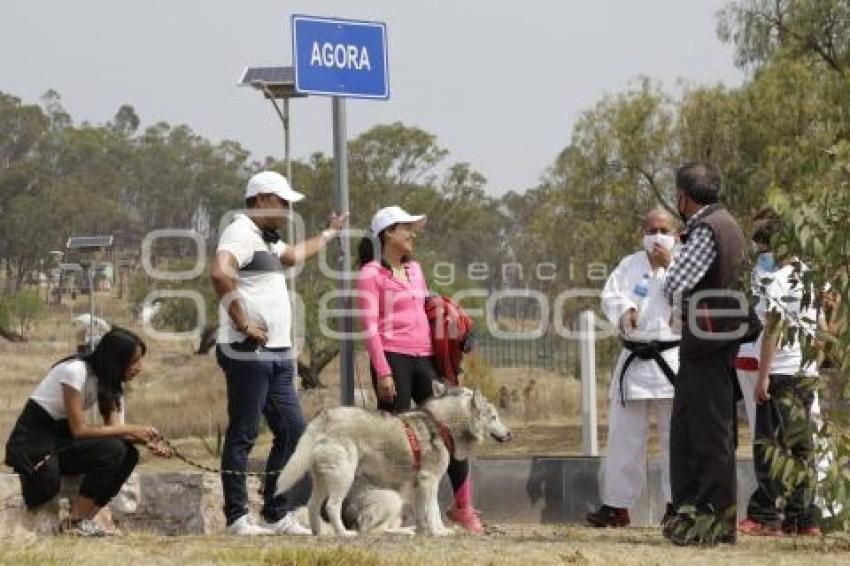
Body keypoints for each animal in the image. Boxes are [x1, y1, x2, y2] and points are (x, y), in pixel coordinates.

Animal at [274, 386, 506, 536]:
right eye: (494, 417)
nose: (510, 434)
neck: (441, 425)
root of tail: (327, 414)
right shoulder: (430, 481)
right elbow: (434, 511)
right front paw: (439, 532)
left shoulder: (418, 485)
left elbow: (423, 513)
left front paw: (424, 532)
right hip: (358, 484)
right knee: (341, 512)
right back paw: (345, 534)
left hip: (324, 481)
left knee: (312, 506)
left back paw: (319, 533)